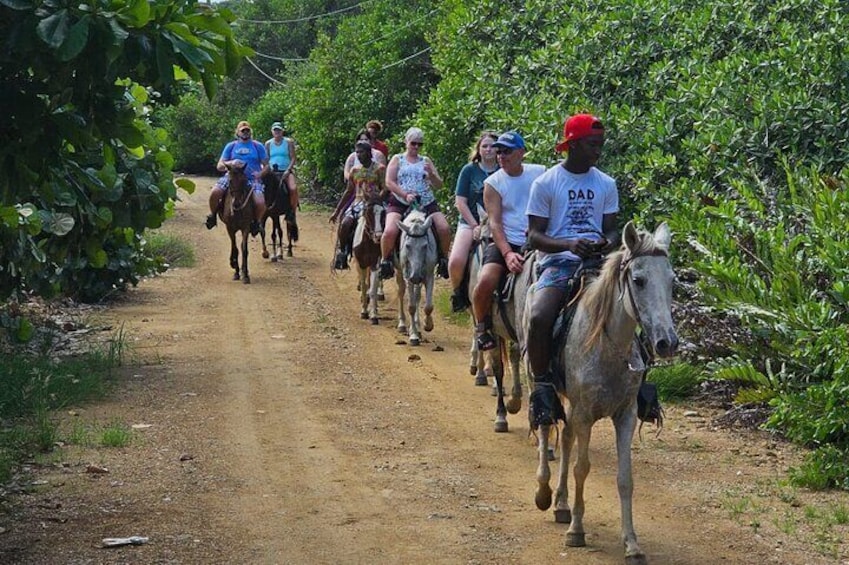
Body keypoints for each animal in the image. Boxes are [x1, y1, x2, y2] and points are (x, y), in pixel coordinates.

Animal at [398, 209, 438, 346]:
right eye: (407, 246)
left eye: (425, 246)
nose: (415, 276)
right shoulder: (408, 276)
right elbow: (411, 306)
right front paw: (414, 335)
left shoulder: (429, 275)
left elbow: (428, 306)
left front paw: (428, 325)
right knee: (401, 292)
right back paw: (403, 324)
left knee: (417, 296)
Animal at [524, 223, 676, 560]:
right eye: (638, 280)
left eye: (671, 280)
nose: (667, 342)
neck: (607, 345)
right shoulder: (585, 414)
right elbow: (582, 468)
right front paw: (576, 531)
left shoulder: (625, 415)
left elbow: (625, 478)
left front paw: (631, 543)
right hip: (539, 381)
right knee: (545, 427)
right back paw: (543, 492)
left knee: (566, 439)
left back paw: (561, 503)